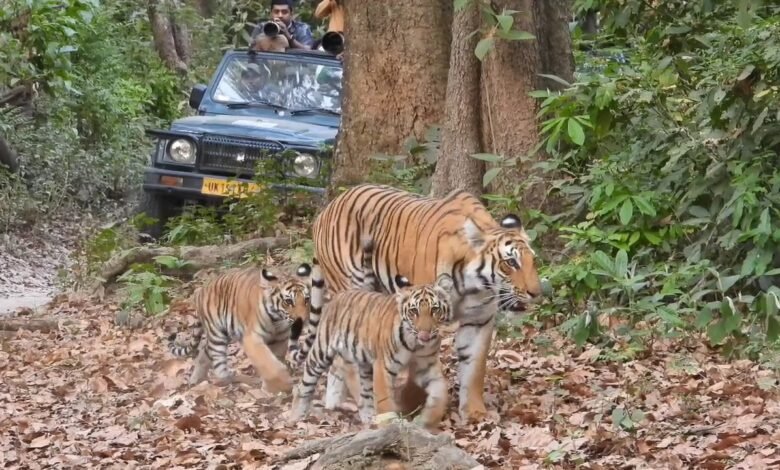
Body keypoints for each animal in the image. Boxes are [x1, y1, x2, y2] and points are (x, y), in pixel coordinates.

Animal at [167, 262, 312, 393]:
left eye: (307, 299)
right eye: (288, 301)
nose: (303, 320)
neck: (277, 320)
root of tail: (201, 291)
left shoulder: (280, 339)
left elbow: (274, 360)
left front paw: (270, 387)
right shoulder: (252, 339)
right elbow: (268, 363)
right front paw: (283, 384)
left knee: (204, 352)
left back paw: (196, 379)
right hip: (217, 334)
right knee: (219, 366)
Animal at [287, 238, 455, 428]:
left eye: (435, 310)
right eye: (414, 311)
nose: (425, 334)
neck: (416, 345)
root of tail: (338, 296)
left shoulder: (426, 367)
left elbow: (440, 391)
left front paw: (429, 419)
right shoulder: (383, 367)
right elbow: (385, 401)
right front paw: (390, 424)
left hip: (362, 362)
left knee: (360, 389)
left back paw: (363, 415)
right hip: (321, 352)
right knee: (303, 385)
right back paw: (295, 417)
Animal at [304, 183, 542, 422]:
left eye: (533, 261)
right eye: (510, 263)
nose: (537, 293)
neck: (473, 286)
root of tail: (327, 209)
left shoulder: (478, 321)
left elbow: (474, 369)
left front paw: (475, 413)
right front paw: (410, 405)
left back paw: (335, 401)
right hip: (352, 292)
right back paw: (363, 405)